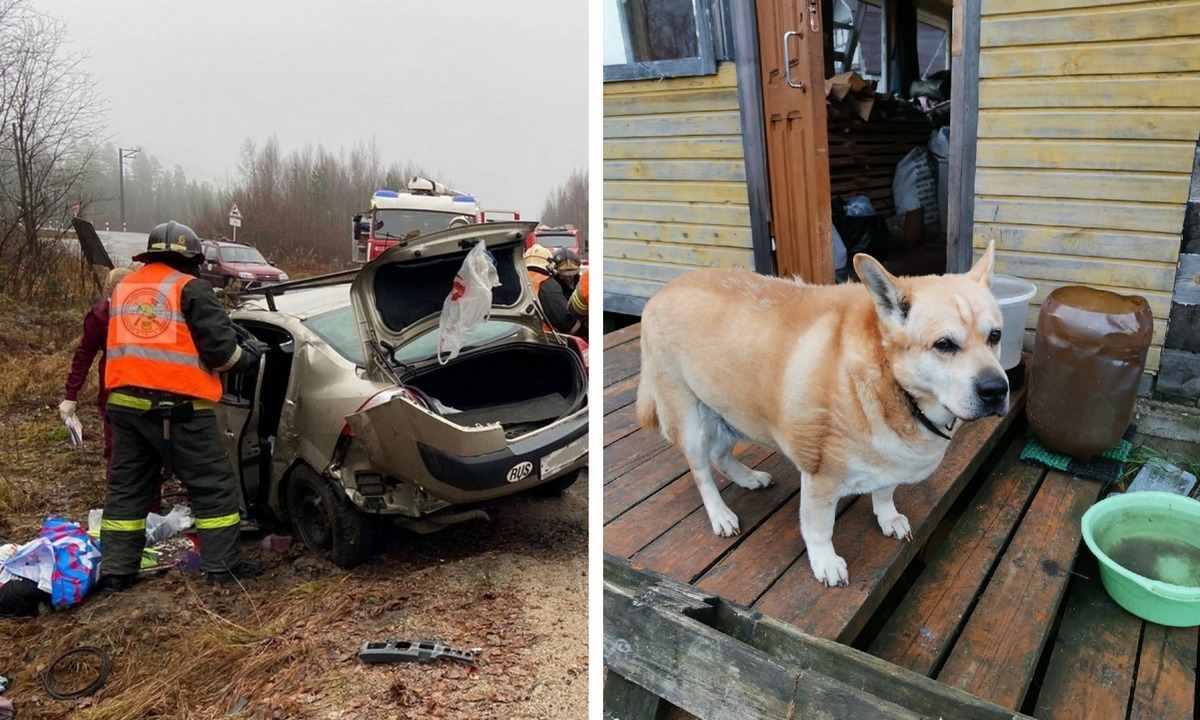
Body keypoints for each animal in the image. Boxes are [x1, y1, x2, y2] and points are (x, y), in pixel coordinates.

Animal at [633, 242, 1008, 585]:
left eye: (996, 336)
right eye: (944, 345)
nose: (997, 390)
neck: (888, 382)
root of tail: (657, 295)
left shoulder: (891, 460)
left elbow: (885, 491)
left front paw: (888, 517)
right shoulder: (820, 479)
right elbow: (818, 528)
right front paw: (825, 563)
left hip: (731, 412)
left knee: (722, 456)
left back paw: (749, 477)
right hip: (692, 423)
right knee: (702, 474)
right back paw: (720, 515)